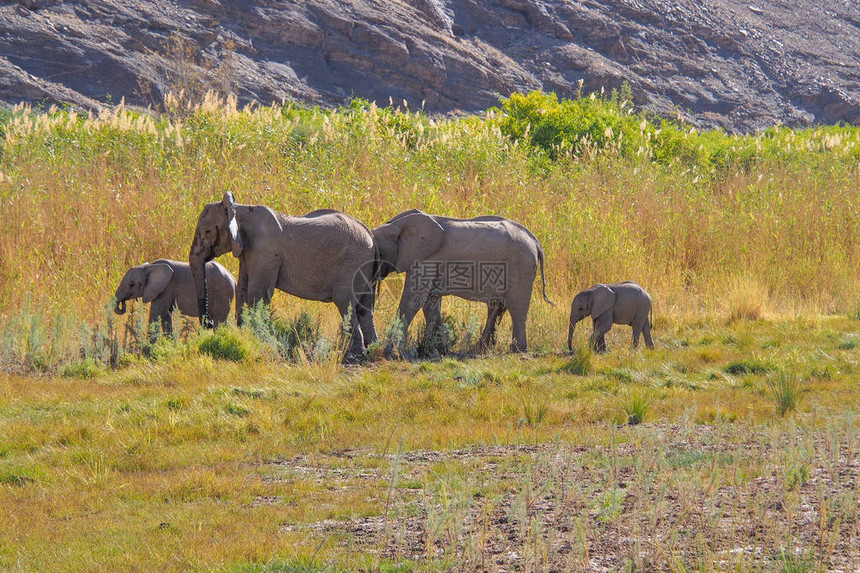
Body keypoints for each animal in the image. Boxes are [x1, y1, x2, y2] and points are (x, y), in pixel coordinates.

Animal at [190, 194, 378, 360]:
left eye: (207, 231)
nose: (209, 324)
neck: (238, 210)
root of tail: (371, 237)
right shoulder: (246, 252)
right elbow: (242, 290)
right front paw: (244, 337)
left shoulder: (265, 252)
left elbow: (256, 295)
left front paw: (256, 339)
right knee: (365, 308)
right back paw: (371, 349)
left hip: (353, 265)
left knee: (346, 303)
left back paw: (352, 356)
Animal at [372, 208, 556, 350]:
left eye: (379, 253)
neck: (397, 225)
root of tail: (535, 242)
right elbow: (430, 303)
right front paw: (437, 347)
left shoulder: (426, 259)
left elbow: (413, 300)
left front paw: (390, 351)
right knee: (497, 306)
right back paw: (481, 348)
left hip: (521, 265)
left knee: (516, 308)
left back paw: (517, 350)